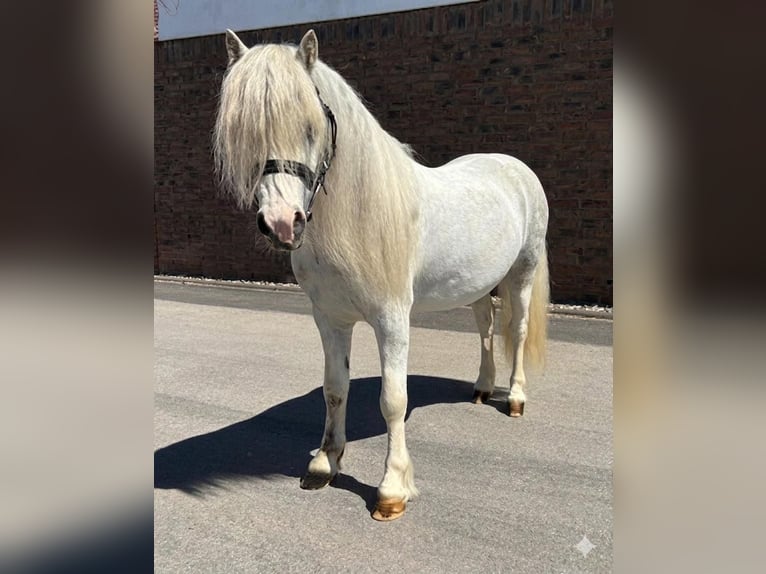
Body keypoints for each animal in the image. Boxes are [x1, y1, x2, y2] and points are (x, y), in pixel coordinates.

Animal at [213, 30, 550, 521]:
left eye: (311, 127)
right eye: (245, 133)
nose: (281, 224)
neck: (359, 215)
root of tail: (515, 167)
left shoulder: (392, 319)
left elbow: (393, 400)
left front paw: (392, 491)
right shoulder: (329, 319)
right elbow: (335, 388)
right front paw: (324, 464)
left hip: (523, 272)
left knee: (518, 330)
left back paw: (516, 399)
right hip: (479, 286)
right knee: (486, 327)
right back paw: (482, 389)